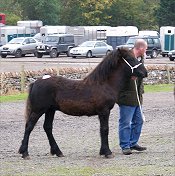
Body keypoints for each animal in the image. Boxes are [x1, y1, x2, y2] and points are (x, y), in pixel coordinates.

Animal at [18, 48, 147, 160]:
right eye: (130, 59)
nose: (145, 72)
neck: (103, 84)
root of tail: (37, 82)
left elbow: (102, 130)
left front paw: (102, 151)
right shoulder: (104, 111)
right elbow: (105, 130)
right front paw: (107, 152)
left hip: (50, 110)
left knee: (48, 128)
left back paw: (58, 152)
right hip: (38, 110)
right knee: (29, 127)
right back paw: (25, 153)